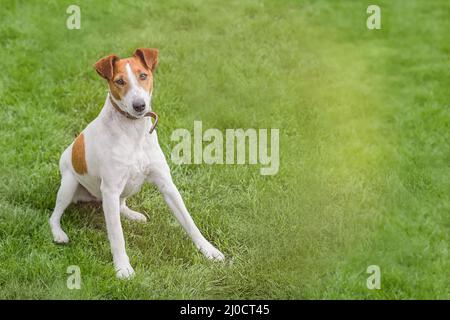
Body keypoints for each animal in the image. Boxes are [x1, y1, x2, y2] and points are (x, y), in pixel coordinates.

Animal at [49, 48, 225, 278]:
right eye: (119, 81)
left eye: (143, 75)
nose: (139, 105)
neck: (133, 130)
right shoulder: (111, 189)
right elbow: (117, 236)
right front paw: (122, 267)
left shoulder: (166, 184)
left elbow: (189, 222)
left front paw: (208, 250)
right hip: (69, 185)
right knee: (55, 214)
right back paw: (58, 233)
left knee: (121, 205)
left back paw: (132, 214)